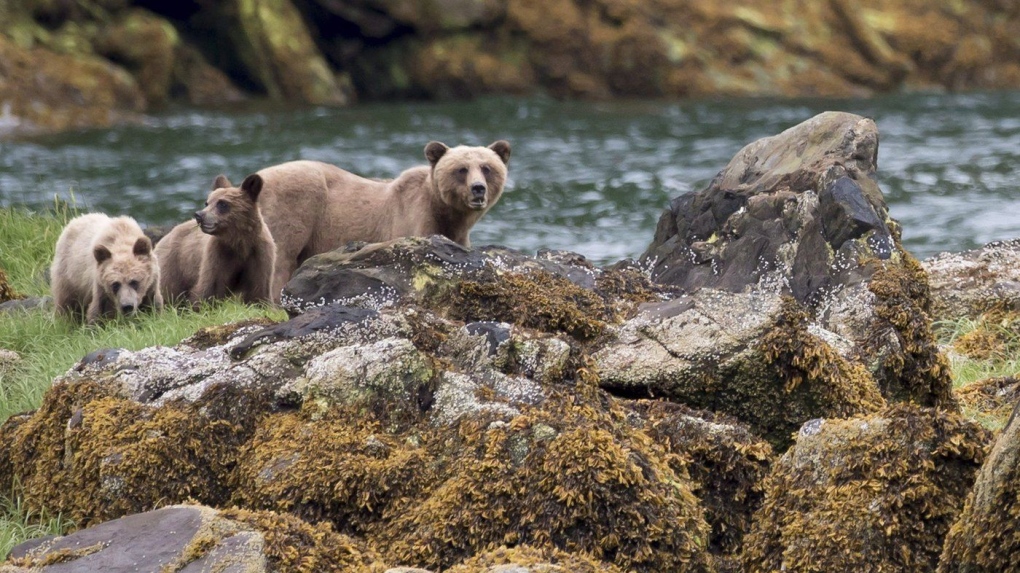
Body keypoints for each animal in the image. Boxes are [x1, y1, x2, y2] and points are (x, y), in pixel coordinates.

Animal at [155, 173, 277, 305]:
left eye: (222, 203)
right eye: (207, 203)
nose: (199, 215)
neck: (239, 242)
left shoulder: (258, 254)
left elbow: (259, 290)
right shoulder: (218, 255)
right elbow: (209, 289)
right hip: (174, 265)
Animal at [255, 139, 510, 293]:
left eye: (487, 168)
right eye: (461, 169)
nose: (478, 188)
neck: (447, 213)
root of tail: (259, 176)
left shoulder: (459, 235)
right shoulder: (413, 219)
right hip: (297, 204)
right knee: (282, 256)